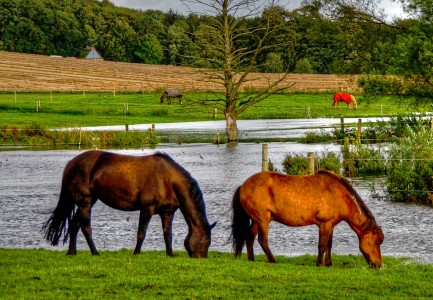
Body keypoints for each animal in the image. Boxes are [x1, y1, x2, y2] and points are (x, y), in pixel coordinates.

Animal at [43, 151, 215, 256]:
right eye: (207, 241)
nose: (201, 258)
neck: (168, 179)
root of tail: (71, 164)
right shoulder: (147, 209)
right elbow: (141, 233)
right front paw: (136, 253)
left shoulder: (168, 212)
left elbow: (168, 234)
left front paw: (170, 254)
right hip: (84, 202)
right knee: (85, 227)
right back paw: (95, 252)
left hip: (88, 201)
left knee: (74, 224)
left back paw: (72, 252)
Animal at [231, 170, 384, 268]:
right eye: (376, 242)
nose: (378, 265)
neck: (340, 195)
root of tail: (243, 186)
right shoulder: (324, 224)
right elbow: (322, 245)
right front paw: (319, 264)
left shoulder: (331, 225)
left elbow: (329, 244)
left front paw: (328, 263)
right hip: (263, 220)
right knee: (262, 241)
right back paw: (273, 261)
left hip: (257, 220)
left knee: (249, 237)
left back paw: (251, 260)